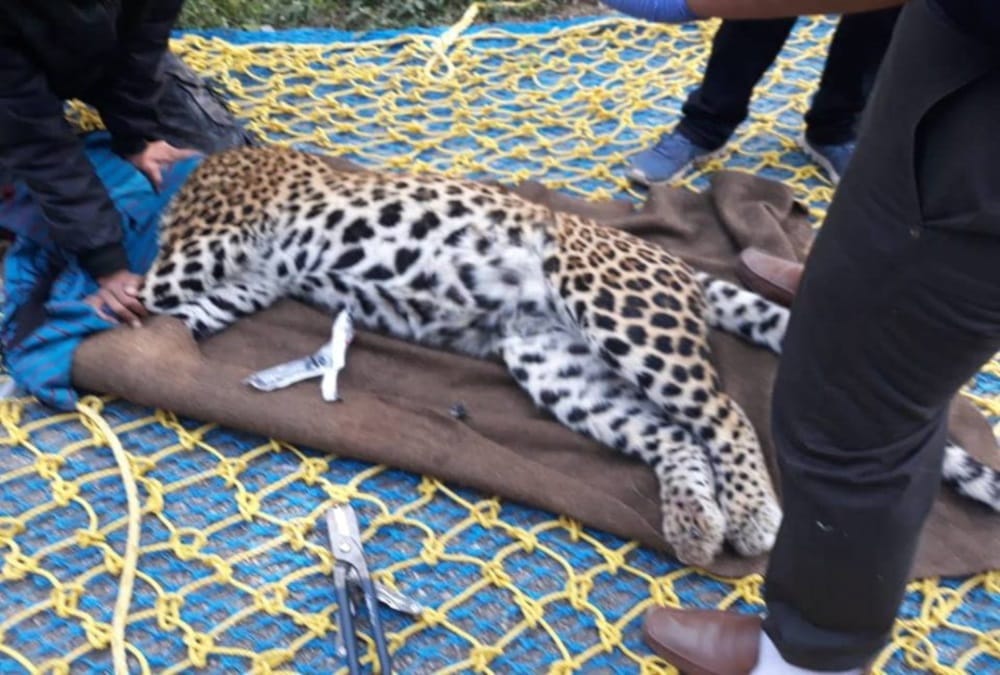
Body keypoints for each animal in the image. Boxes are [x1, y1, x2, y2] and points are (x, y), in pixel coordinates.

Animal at [139, 145, 999, 565]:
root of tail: (677, 264)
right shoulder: (246, 283)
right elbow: (193, 308)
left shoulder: (204, 249)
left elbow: (151, 286)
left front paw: (113, 304)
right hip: (554, 362)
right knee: (674, 434)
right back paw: (695, 522)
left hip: (615, 307)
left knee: (723, 413)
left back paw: (752, 514)